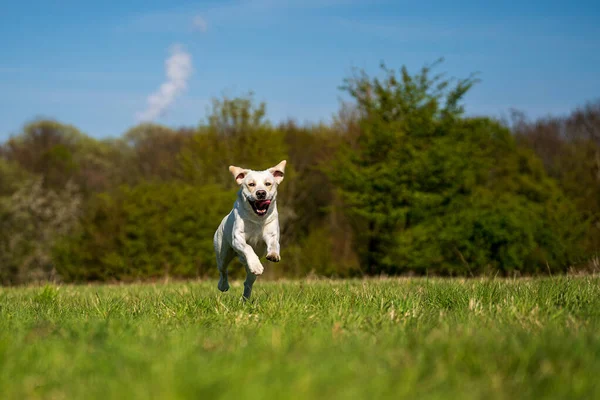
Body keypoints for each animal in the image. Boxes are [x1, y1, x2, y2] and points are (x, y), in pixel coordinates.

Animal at [213, 161, 286, 298]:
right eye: (251, 184)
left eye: (268, 184)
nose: (261, 193)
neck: (257, 219)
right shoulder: (237, 238)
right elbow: (248, 247)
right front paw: (256, 265)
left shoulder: (272, 234)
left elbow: (274, 244)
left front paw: (273, 255)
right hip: (223, 253)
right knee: (223, 270)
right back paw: (223, 286)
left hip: (248, 272)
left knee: (248, 282)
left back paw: (245, 298)